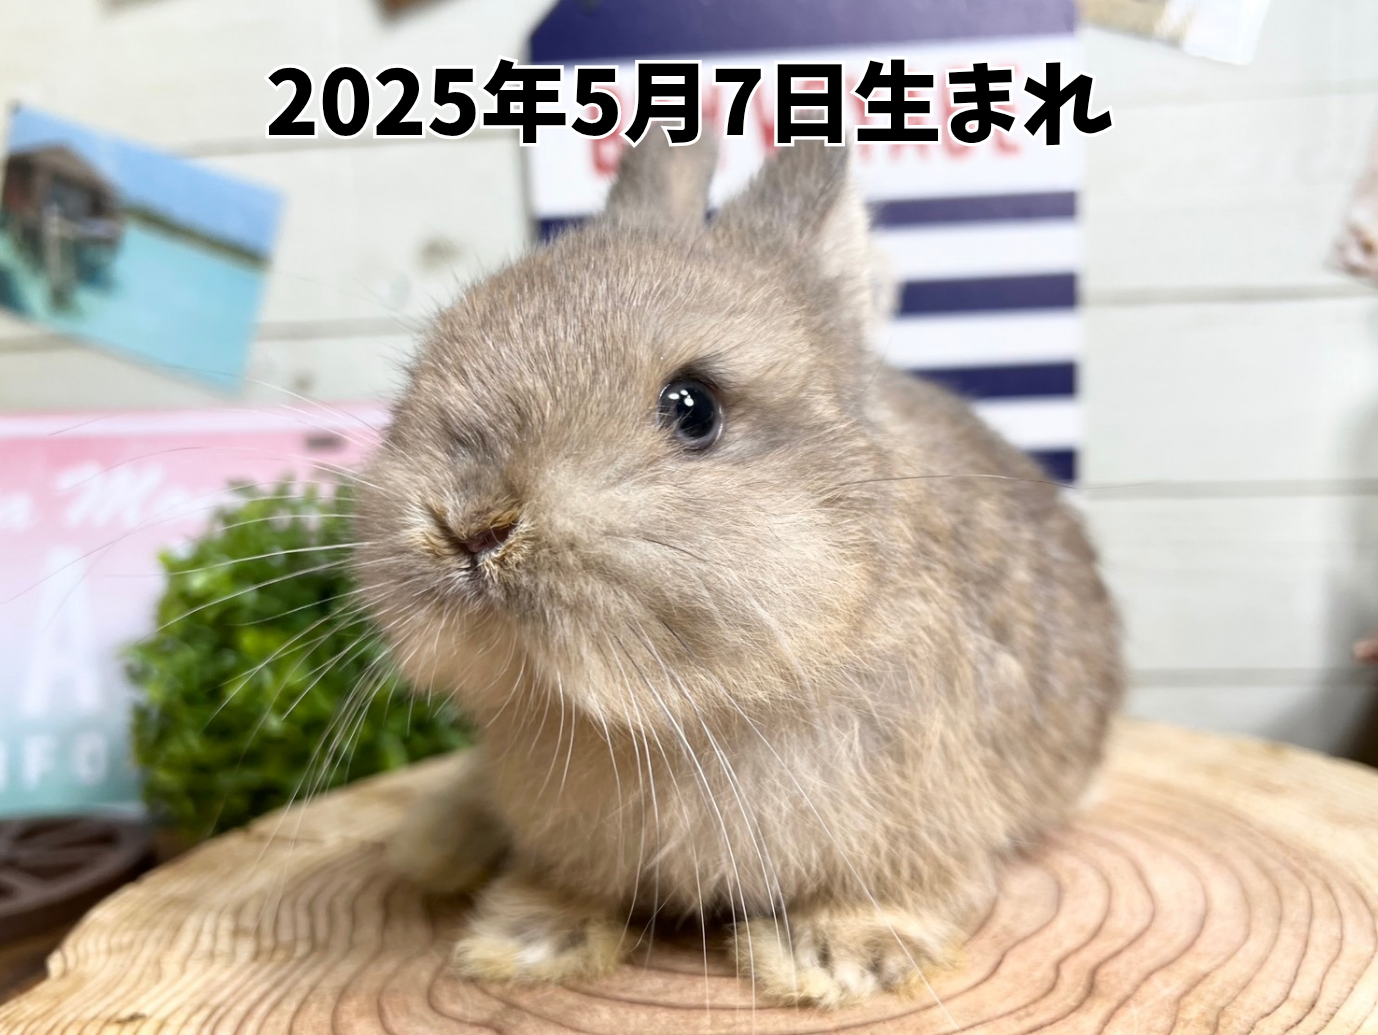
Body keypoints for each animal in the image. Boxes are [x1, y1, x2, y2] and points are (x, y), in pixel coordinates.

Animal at [351, 127, 1124, 1008]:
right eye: (433, 355)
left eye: (694, 408)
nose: (469, 525)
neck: (659, 718)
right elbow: (565, 883)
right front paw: (523, 940)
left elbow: (903, 892)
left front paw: (831, 960)